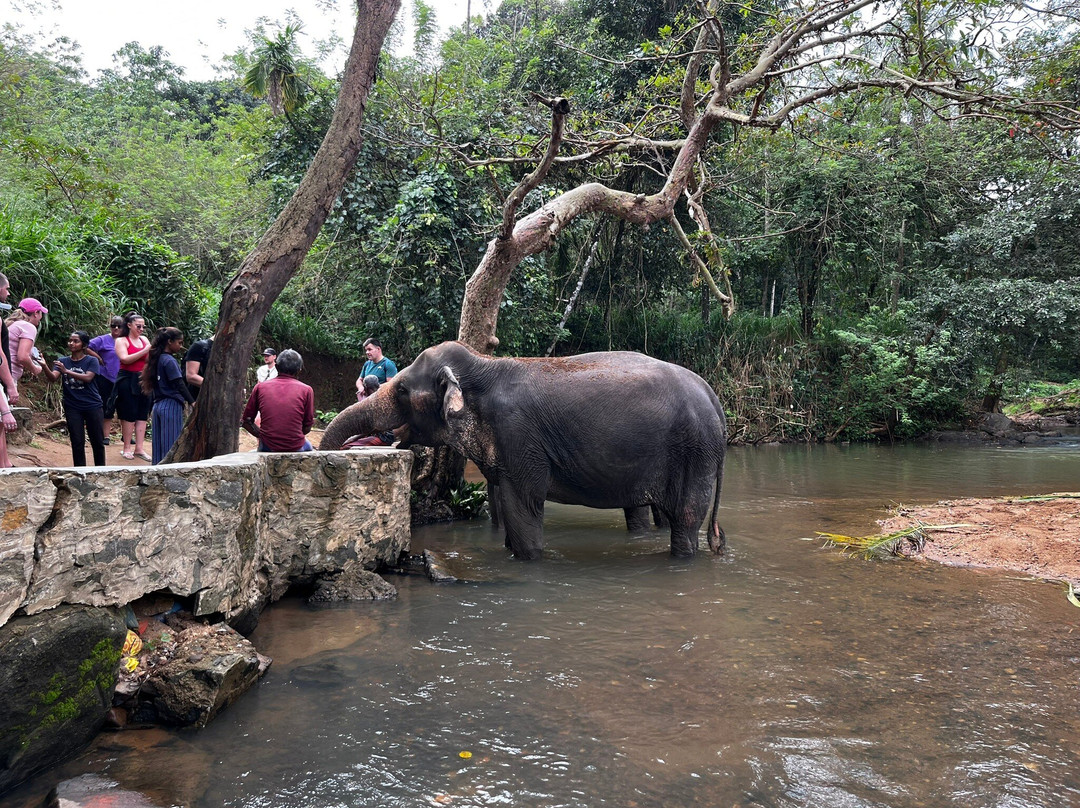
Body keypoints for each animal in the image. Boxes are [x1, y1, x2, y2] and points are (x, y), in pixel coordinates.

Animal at [320, 341, 727, 560]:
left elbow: (525, 508)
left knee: (686, 519)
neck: (482, 367)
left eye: (403, 390)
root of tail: (713, 396)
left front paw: (529, 560)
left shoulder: (519, 437)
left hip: (695, 451)